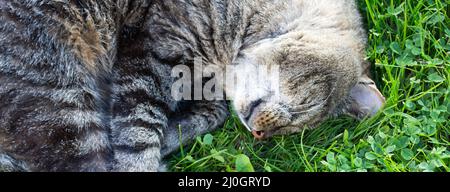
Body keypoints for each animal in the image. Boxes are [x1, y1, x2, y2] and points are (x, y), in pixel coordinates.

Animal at [0, 0, 384, 171]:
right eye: (306, 108)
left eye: (295, 132)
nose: (259, 135)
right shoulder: (150, 54)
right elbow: (138, 134)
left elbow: (209, 114)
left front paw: (172, 136)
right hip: (62, 100)